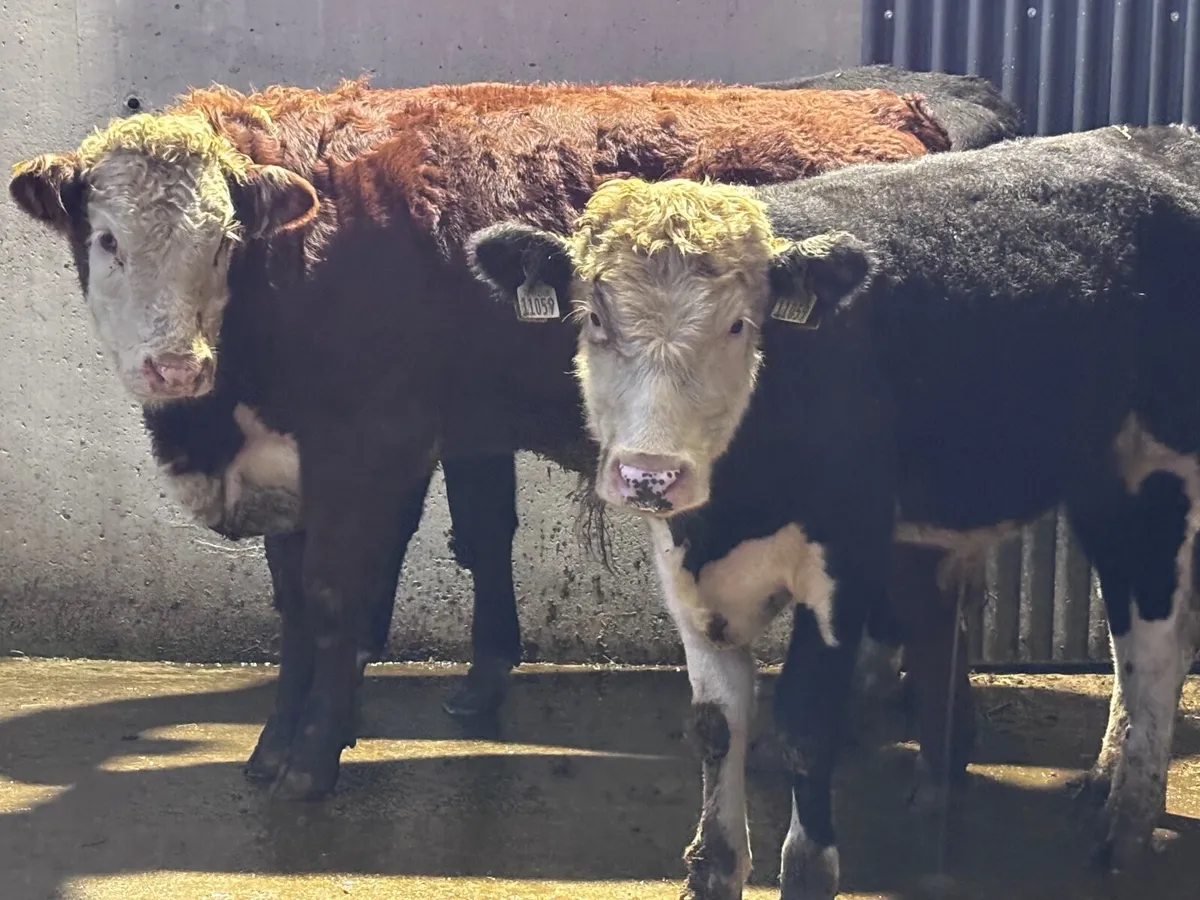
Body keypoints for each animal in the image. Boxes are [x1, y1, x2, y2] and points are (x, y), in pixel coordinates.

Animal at [9, 76, 956, 801]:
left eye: (224, 242)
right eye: (105, 239)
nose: (174, 365)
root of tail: (893, 107)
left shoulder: (372, 446)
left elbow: (337, 599)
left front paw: (313, 760)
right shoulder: (297, 463)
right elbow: (297, 607)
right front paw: (275, 744)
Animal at [467, 124, 1200, 897]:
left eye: (739, 325)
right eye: (594, 318)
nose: (650, 473)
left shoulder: (846, 561)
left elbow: (808, 728)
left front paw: (808, 867)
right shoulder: (686, 569)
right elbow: (716, 727)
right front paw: (713, 868)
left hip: (1155, 474)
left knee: (1155, 643)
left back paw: (1123, 823)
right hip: (1098, 481)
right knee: (1131, 638)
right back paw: (1100, 782)